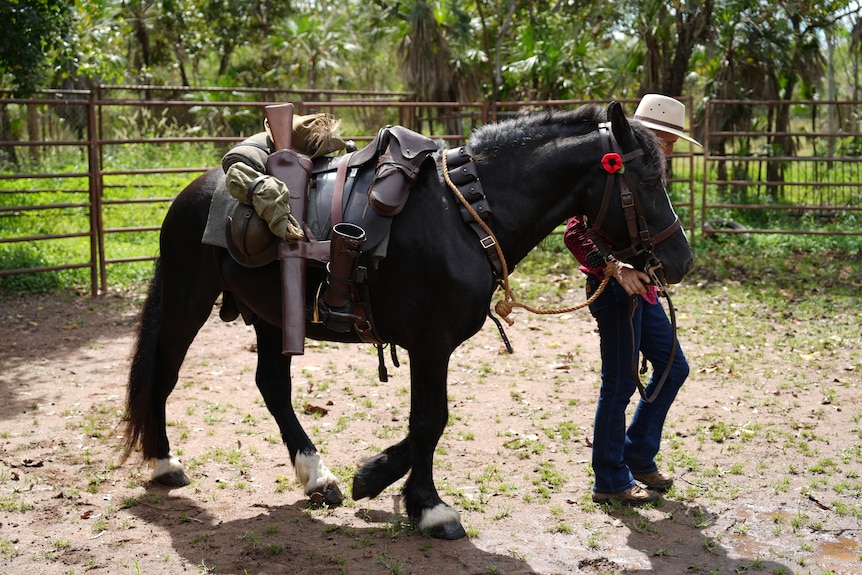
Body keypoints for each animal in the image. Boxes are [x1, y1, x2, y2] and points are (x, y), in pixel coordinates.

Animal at [123, 102, 693, 540]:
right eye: (648, 178)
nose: (681, 261)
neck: (465, 213)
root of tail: (193, 192)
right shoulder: (430, 343)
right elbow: (430, 421)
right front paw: (427, 505)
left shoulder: (429, 346)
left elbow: (426, 425)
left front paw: (375, 478)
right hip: (188, 300)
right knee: (164, 374)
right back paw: (165, 463)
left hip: (272, 315)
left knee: (272, 387)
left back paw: (317, 477)